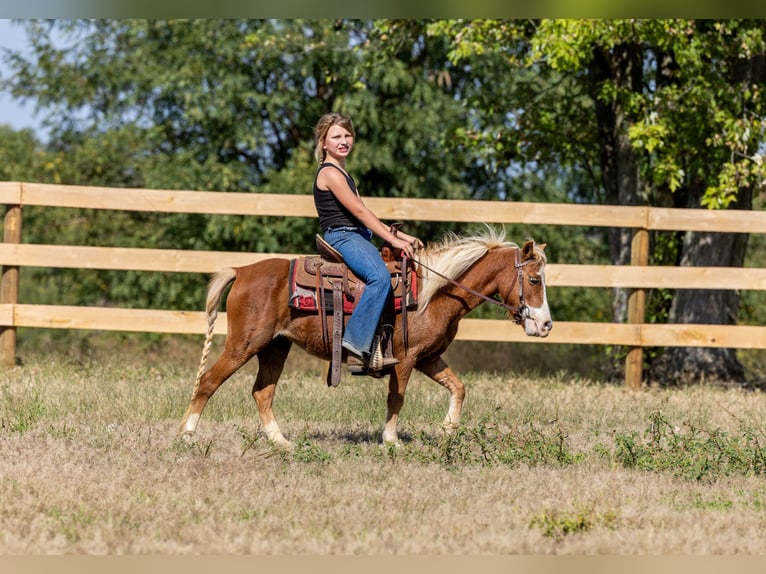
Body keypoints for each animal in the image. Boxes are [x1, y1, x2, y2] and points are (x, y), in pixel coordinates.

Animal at [178, 226, 552, 448]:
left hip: (274, 347)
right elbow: (396, 398)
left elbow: (458, 387)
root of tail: (241, 271)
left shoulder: (429, 357)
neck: (434, 293)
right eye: (535, 280)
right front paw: (391, 440)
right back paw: (186, 434)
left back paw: (280, 442)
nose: (546, 324)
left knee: (262, 392)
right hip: (244, 344)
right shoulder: (406, 357)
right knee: (208, 382)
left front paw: (448, 431)